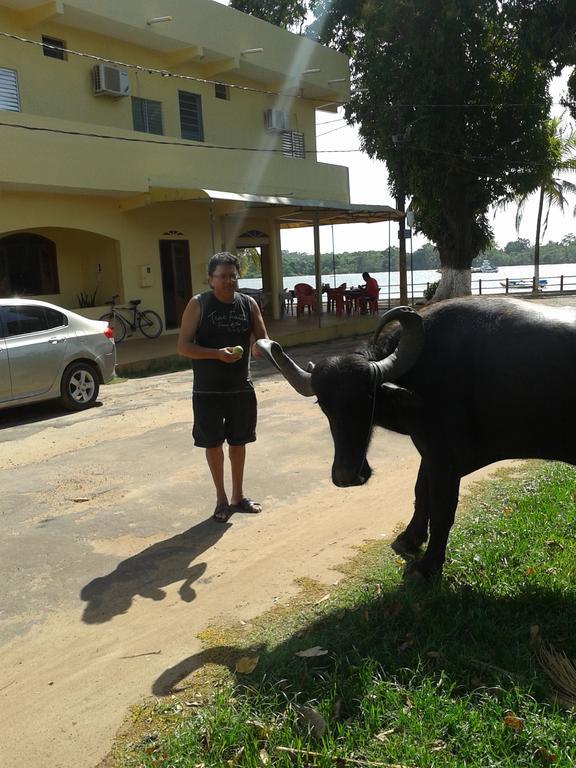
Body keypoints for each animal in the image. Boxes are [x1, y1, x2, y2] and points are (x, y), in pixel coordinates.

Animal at [258, 296, 576, 580]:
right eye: (323, 405)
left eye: (368, 397)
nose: (346, 475)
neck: (419, 382)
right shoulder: (429, 451)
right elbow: (420, 493)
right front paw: (410, 538)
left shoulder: (445, 459)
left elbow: (442, 509)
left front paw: (427, 566)